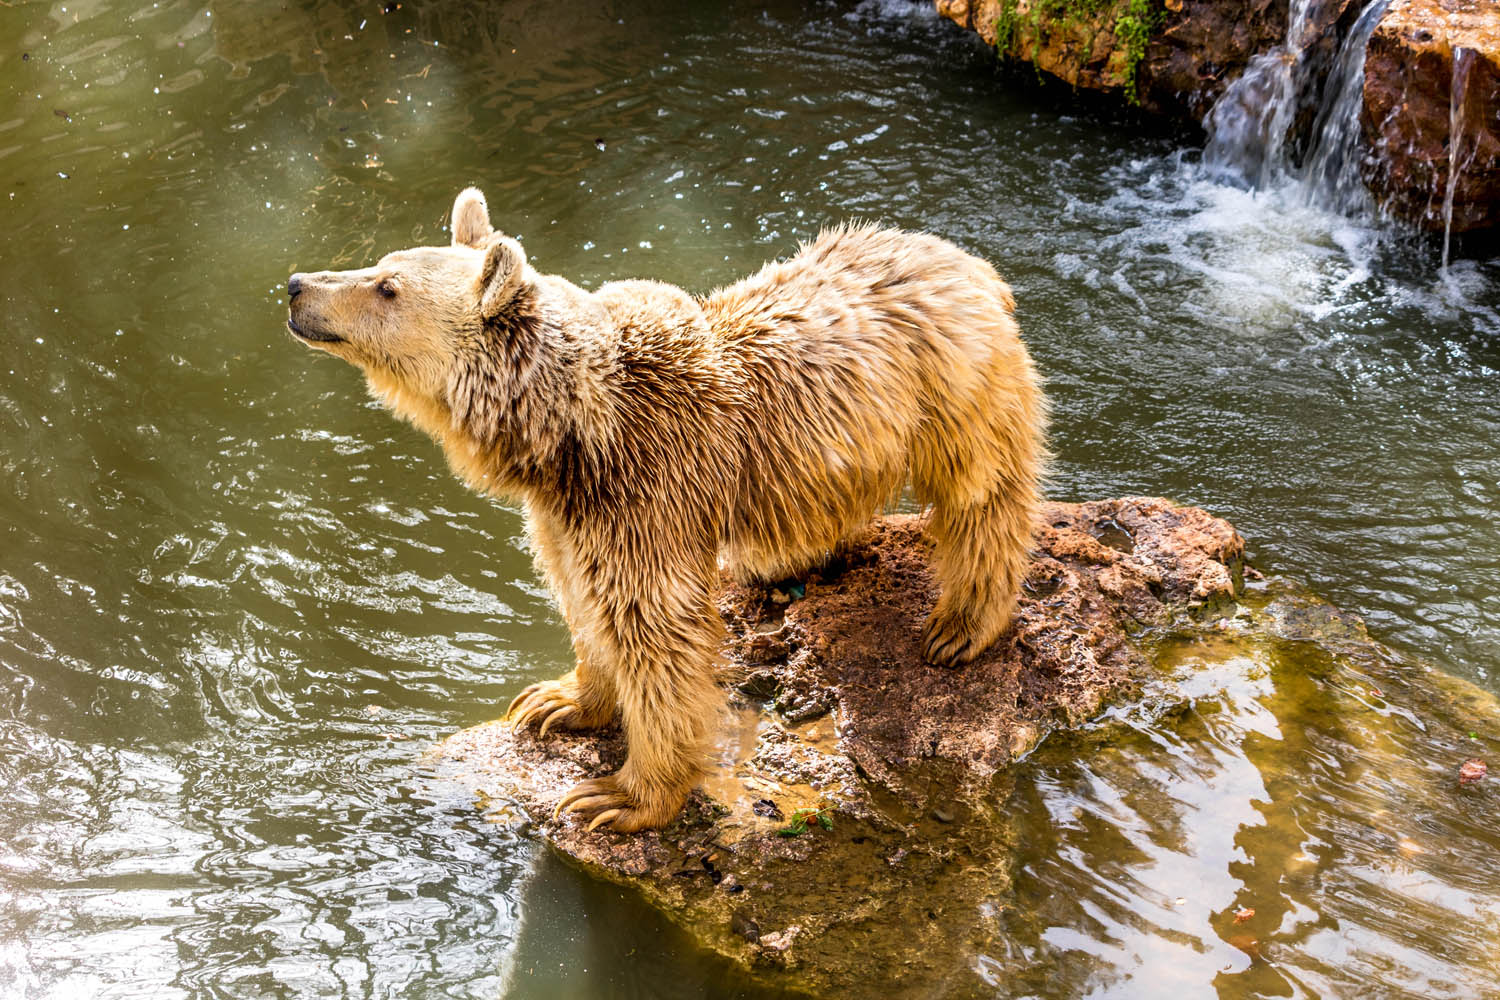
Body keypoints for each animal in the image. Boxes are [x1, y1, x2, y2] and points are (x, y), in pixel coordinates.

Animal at [286, 185, 1050, 827]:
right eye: (383, 263)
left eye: (387, 286)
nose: (296, 287)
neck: (570, 437)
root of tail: (971, 262)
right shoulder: (567, 514)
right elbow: (582, 598)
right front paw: (555, 701)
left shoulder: (648, 490)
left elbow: (655, 628)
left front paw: (618, 795)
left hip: (952, 391)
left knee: (983, 496)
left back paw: (961, 625)